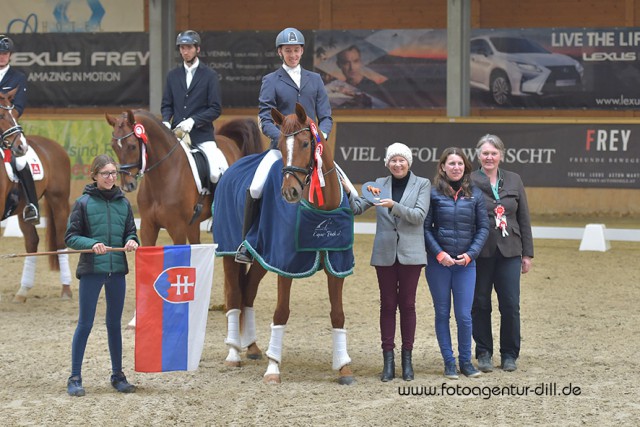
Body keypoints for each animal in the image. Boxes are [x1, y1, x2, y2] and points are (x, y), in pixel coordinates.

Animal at [0, 88, 72, 304]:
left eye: (15, 114)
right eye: (1, 115)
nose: (21, 147)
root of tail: (53, 145)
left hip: (59, 201)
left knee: (60, 241)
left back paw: (66, 290)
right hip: (23, 209)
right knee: (32, 243)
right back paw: (22, 292)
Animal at [214, 103, 356, 384]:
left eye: (305, 143)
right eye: (280, 145)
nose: (290, 192)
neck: (320, 208)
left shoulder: (336, 266)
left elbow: (338, 314)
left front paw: (343, 368)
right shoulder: (286, 264)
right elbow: (281, 312)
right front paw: (273, 369)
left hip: (262, 257)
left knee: (248, 292)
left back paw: (253, 347)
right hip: (229, 251)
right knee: (235, 296)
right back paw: (234, 353)